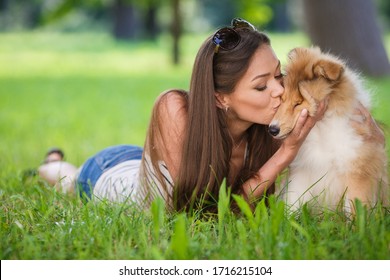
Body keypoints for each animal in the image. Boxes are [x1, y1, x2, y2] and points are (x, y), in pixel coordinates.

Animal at [270, 47, 388, 212]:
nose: (272, 129)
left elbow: (356, 208)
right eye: (282, 99)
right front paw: (287, 217)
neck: (321, 127)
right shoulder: (302, 172)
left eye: (298, 103)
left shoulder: (357, 171)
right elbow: (293, 201)